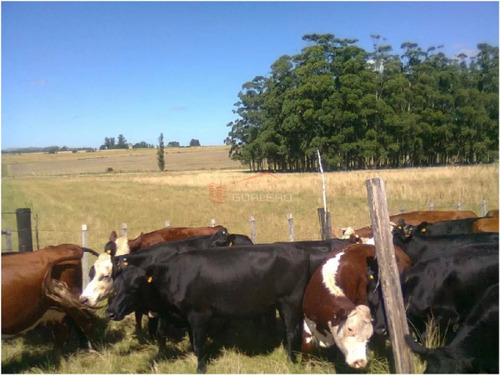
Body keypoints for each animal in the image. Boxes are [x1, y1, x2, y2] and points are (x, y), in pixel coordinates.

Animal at [106, 247, 308, 374]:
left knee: (291, 332)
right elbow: (192, 341)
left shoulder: (199, 314)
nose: (110, 312)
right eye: (116, 286)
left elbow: (199, 343)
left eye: (134, 288)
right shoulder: (187, 316)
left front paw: (200, 368)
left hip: (290, 302)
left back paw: (292, 361)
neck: (175, 276)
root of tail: (295, 251)